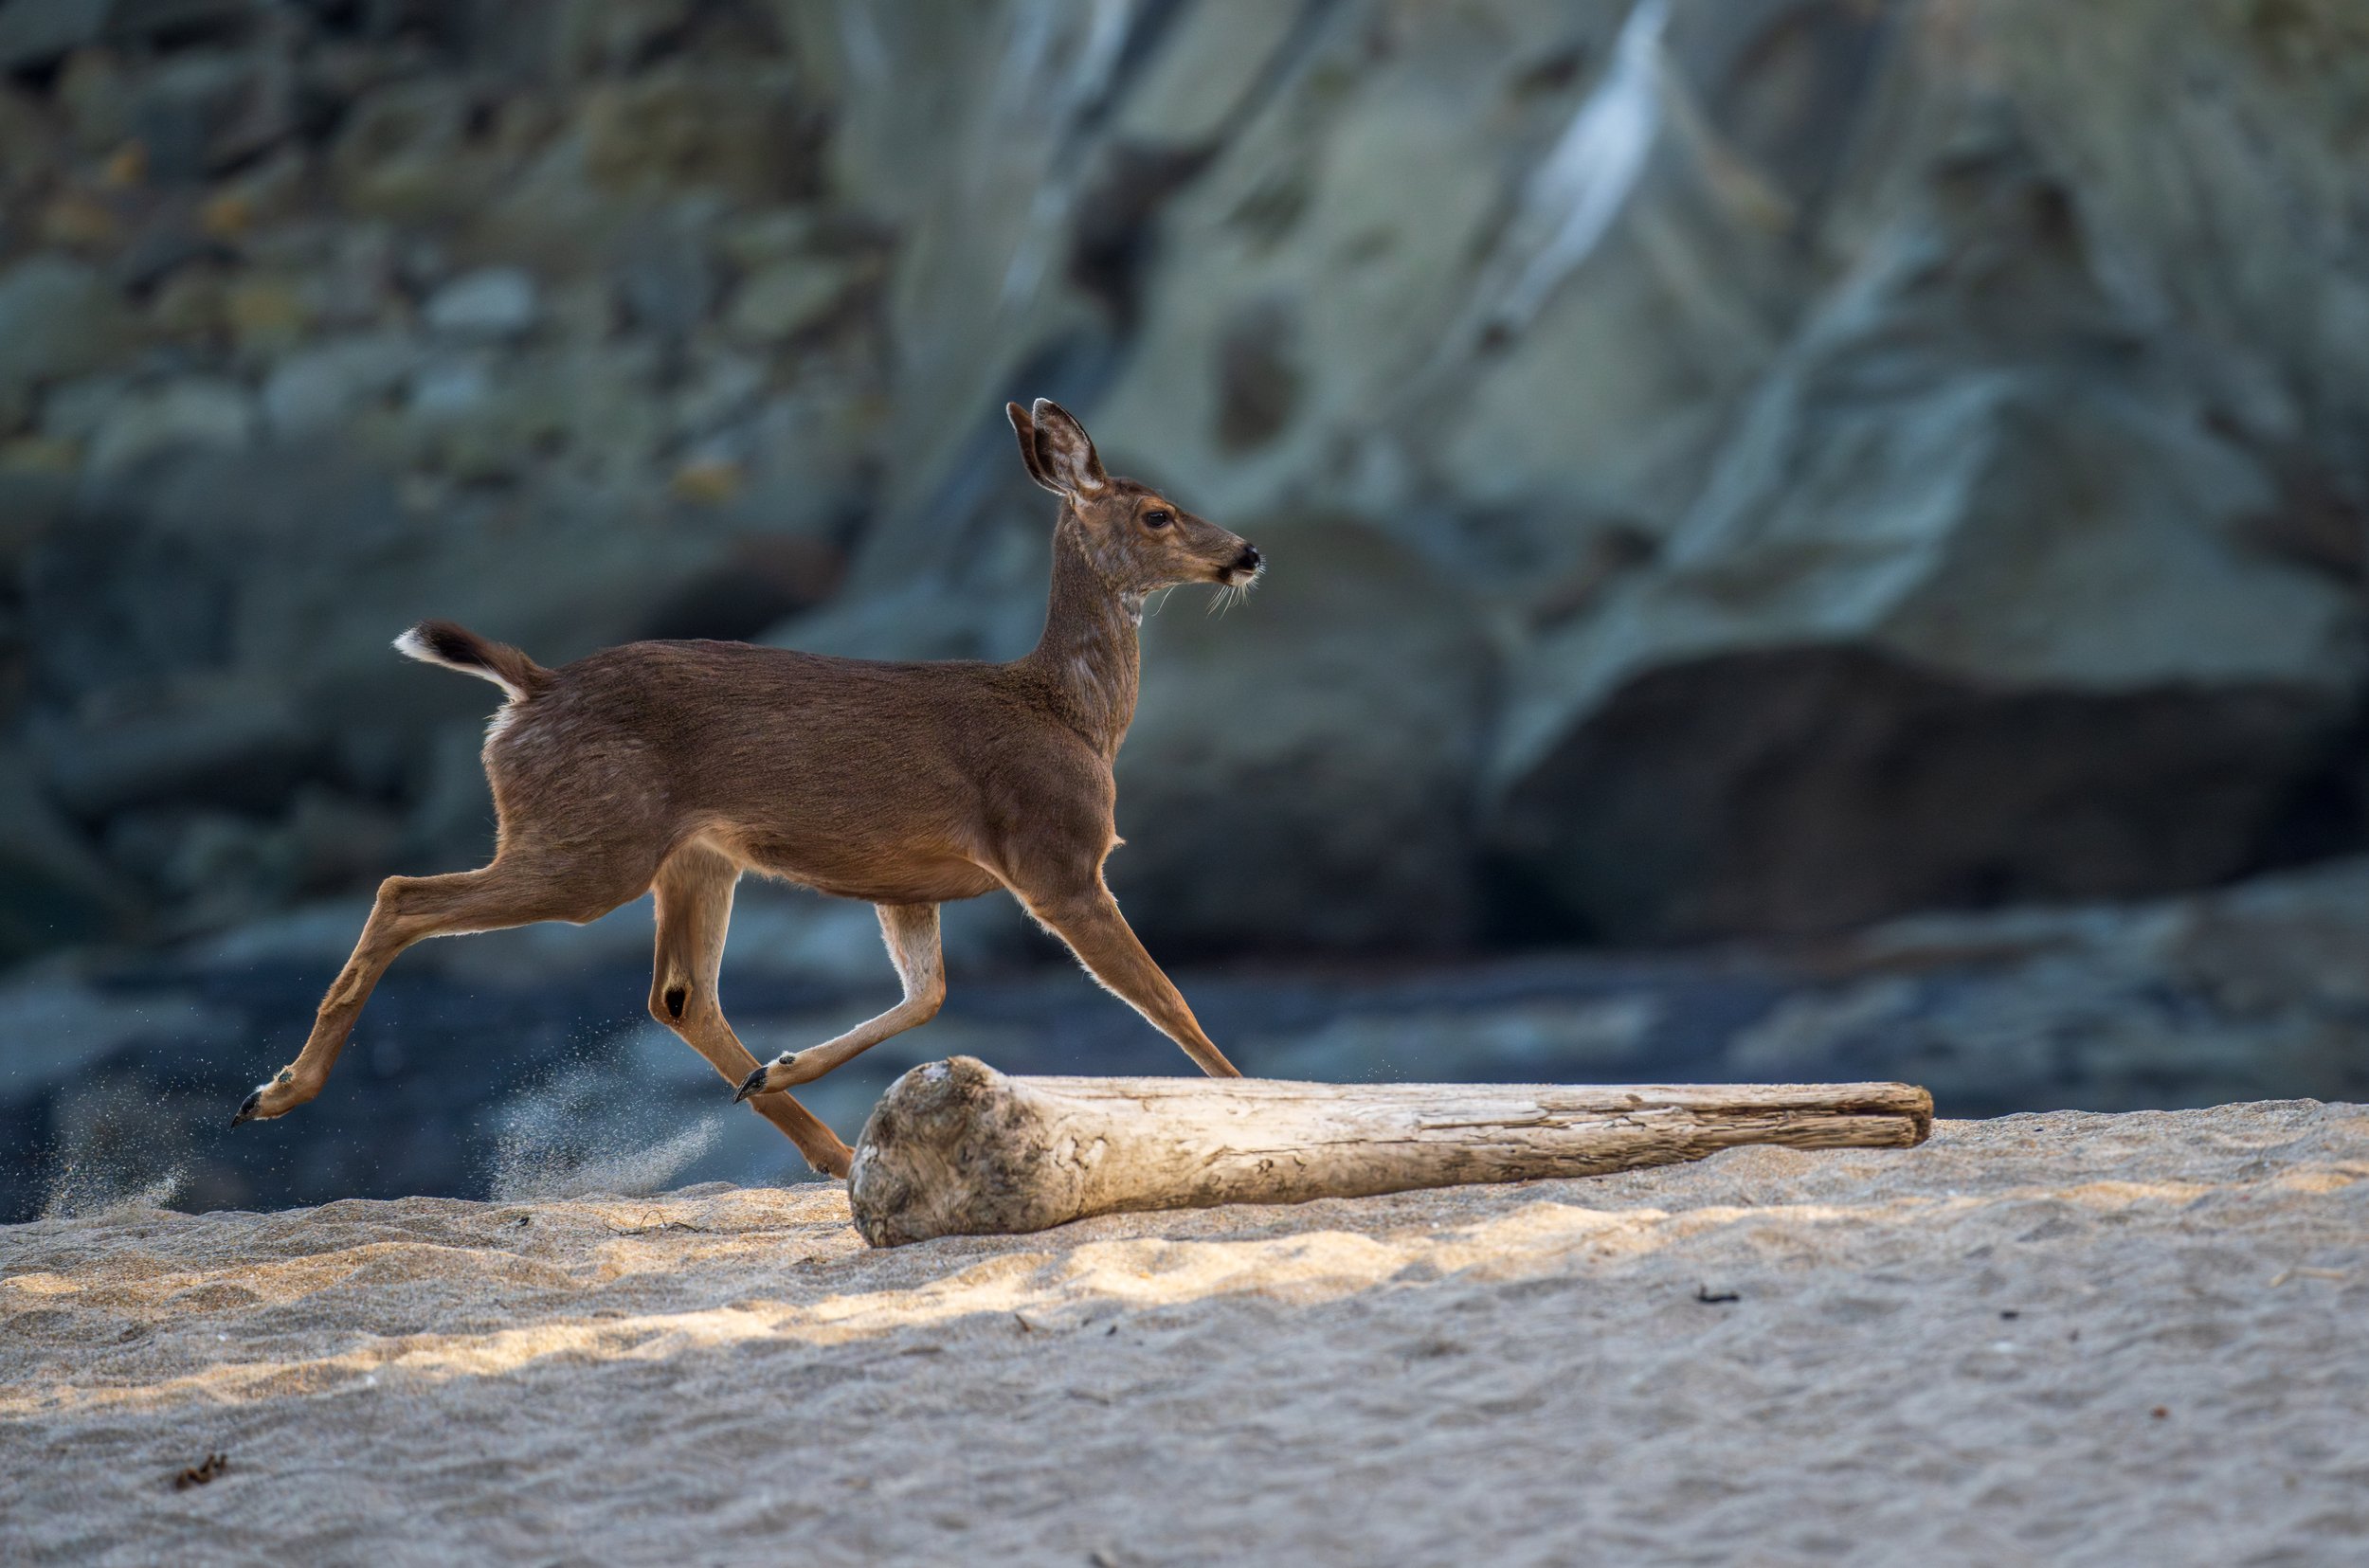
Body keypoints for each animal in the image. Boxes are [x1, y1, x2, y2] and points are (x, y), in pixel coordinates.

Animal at [230, 400, 1263, 1179]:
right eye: (1158, 513)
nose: (1247, 552)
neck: (1073, 715)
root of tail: (531, 686)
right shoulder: (1056, 856)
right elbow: (1168, 999)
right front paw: (1248, 1097)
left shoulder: (911, 881)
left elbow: (929, 995)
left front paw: (785, 1064)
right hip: (593, 844)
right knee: (405, 890)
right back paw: (275, 1091)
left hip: (691, 856)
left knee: (678, 995)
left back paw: (816, 1137)